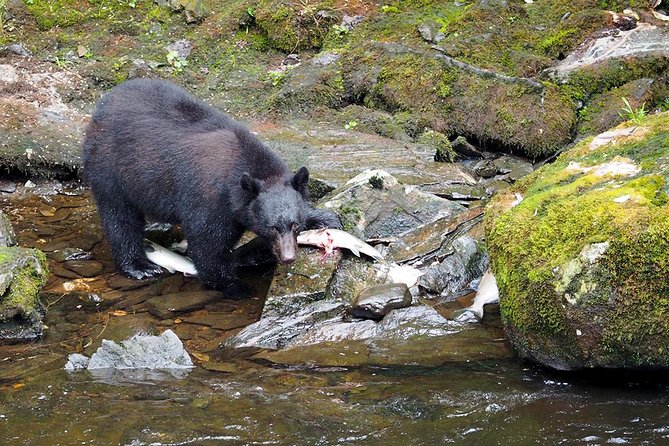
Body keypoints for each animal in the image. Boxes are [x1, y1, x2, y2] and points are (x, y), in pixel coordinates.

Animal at [83, 78, 342, 296]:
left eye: (295, 224)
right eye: (272, 227)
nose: (288, 257)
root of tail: (103, 104)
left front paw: (326, 218)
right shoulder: (210, 200)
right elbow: (207, 244)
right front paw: (234, 285)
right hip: (109, 167)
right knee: (120, 217)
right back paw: (139, 266)